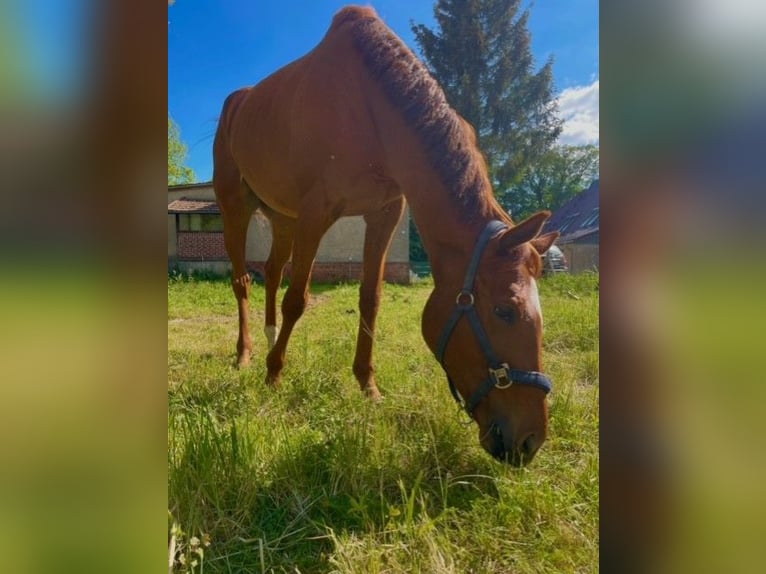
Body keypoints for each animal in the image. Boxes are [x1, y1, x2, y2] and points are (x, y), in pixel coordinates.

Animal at [213, 5, 560, 468]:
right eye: (505, 310)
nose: (529, 441)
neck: (369, 105)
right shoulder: (316, 212)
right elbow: (297, 300)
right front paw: (274, 375)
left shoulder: (384, 213)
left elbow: (371, 298)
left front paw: (368, 386)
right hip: (236, 206)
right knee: (243, 282)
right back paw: (247, 354)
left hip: (281, 216)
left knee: (270, 271)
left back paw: (268, 340)